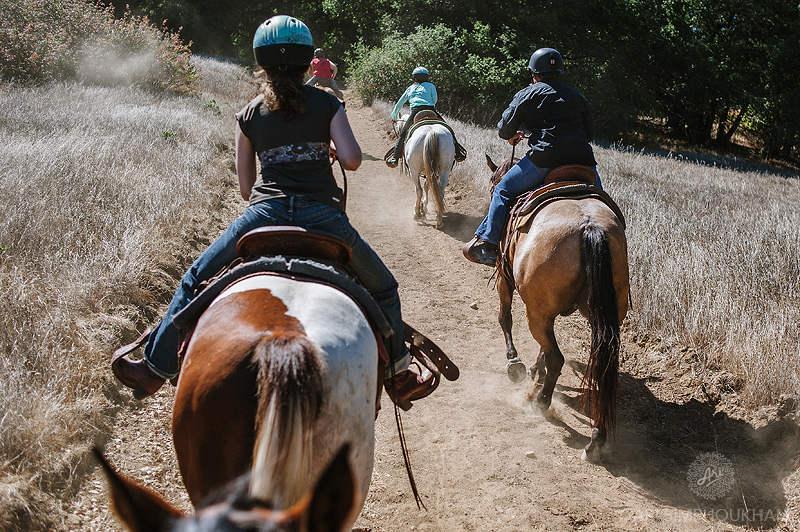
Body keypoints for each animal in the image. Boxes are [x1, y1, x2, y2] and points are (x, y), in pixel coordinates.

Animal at [484, 155, 628, 462]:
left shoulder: (505, 277)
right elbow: (542, 345)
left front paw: (515, 364)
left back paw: (539, 402)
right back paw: (596, 440)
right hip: (602, 318)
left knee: (557, 359)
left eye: (494, 184)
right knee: (601, 368)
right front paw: (533, 370)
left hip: (536, 312)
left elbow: (505, 318)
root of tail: (590, 227)